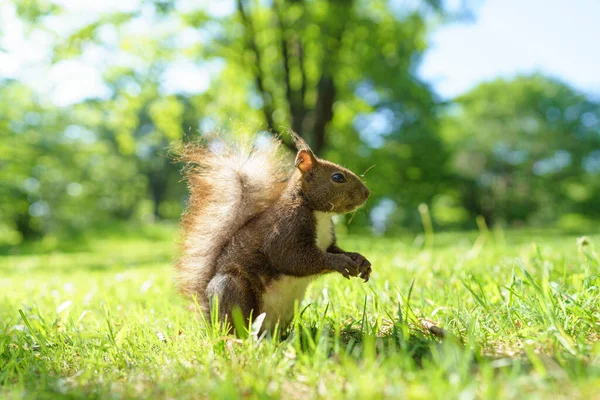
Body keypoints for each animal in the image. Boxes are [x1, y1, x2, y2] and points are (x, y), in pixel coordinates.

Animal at [173, 131, 370, 332]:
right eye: (338, 178)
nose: (367, 193)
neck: (319, 213)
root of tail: (211, 323)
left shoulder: (327, 240)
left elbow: (334, 250)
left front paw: (360, 261)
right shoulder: (284, 229)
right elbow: (290, 258)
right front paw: (339, 262)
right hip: (231, 290)